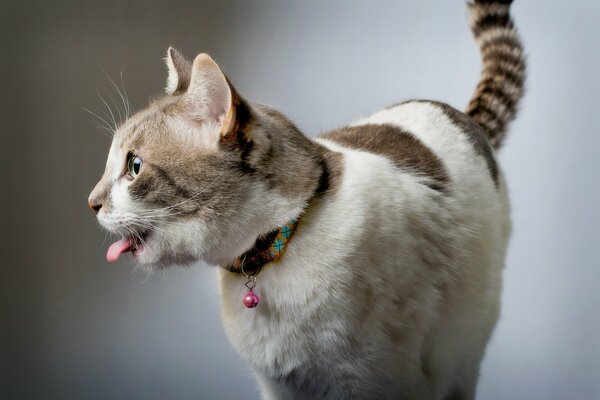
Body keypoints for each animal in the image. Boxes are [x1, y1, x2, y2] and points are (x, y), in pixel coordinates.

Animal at [89, 1, 524, 398]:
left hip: (461, 355)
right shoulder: (281, 387)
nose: (91, 203)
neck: (274, 253)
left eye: (134, 166)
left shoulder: (374, 384)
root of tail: (458, 113)